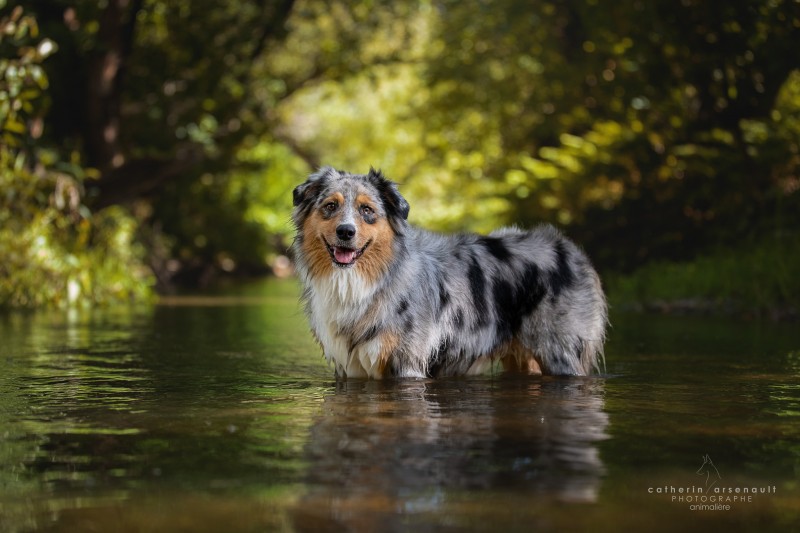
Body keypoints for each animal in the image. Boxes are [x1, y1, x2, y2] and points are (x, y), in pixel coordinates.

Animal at [290, 166, 608, 378]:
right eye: (330, 206)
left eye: (367, 210)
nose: (346, 232)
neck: (360, 281)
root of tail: (570, 248)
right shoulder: (351, 368)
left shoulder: (406, 363)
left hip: (560, 351)